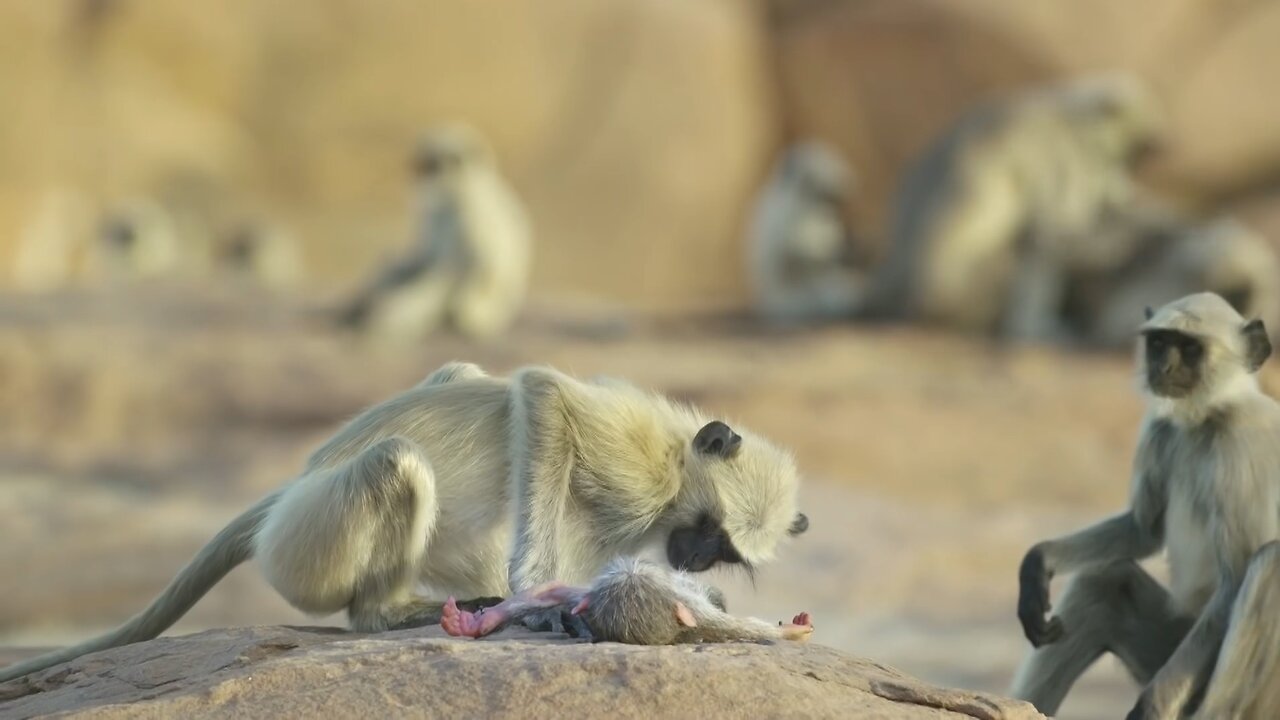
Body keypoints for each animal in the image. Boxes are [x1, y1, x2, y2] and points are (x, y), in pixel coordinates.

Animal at [0, 361, 808, 681]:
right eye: (708, 530)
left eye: (723, 549)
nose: (696, 560)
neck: (676, 459)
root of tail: (294, 483)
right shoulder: (637, 467)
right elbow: (542, 393)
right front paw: (541, 601)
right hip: (307, 541)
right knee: (396, 461)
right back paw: (389, 613)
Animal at [865, 74, 1167, 338]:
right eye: (1123, 160)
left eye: (1130, 163)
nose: (1121, 180)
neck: (1066, 115)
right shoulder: (1060, 156)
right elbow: (1053, 236)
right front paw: (1145, 230)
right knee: (1027, 245)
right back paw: (1025, 328)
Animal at [1008, 293, 1280, 717]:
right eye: (1158, 343)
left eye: (1190, 348)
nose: (1162, 366)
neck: (1208, 418)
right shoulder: (1161, 430)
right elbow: (1143, 530)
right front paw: (1038, 562)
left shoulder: (1240, 446)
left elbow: (1236, 575)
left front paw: (1151, 705)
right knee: (1104, 580)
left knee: (1270, 563)